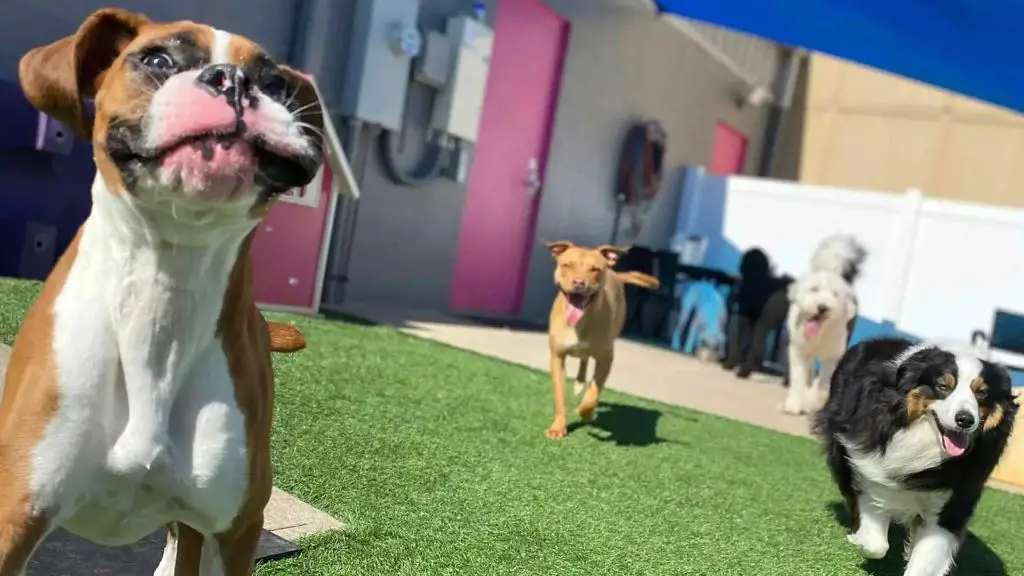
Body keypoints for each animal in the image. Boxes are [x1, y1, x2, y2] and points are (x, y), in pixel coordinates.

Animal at [0, 8, 323, 573]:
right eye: (156, 59)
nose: (232, 80)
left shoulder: (236, 532)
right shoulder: (14, 516)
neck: (166, 283)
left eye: (277, 83)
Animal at [540, 239, 659, 436]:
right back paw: (580, 382)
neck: (580, 322)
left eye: (595, 269)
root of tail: (615, 273)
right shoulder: (557, 357)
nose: (579, 283)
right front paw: (558, 427)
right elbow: (560, 396)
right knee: (584, 359)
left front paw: (586, 412)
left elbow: (594, 393)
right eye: (567, 265)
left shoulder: (606, 359)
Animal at [782, 235, 864, 414]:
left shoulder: (833, 355)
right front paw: (793, 405)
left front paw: (812, 403)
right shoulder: (798, 350)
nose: (822, 307)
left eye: (835, 294)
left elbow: (824, 381)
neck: (819, 335)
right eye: (814, 289)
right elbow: (798, 378)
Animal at [815, 336, 1015, 573]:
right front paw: (862, 541)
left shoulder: (955, 499)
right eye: (943, 386)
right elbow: (877, 544)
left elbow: (927, 558)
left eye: (981, 392)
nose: (965, 420)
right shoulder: (868, 466)